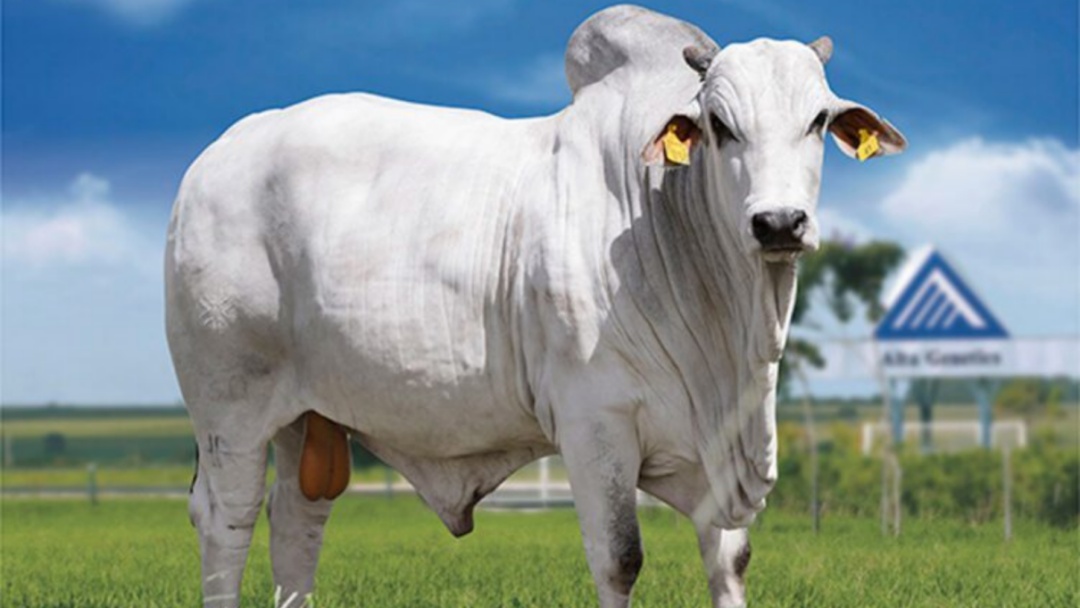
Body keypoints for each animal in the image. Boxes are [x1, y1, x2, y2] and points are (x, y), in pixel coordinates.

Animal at [165, 5, 905, 608]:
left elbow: (731, 560)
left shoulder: (720, 454)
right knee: (226, 518)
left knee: (297, 520)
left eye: (817, 121)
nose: (778, 223)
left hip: (307, 415)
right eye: (720, 125)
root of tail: (213, 158)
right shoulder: (594, 423)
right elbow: (620, 560)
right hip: (230, 406)